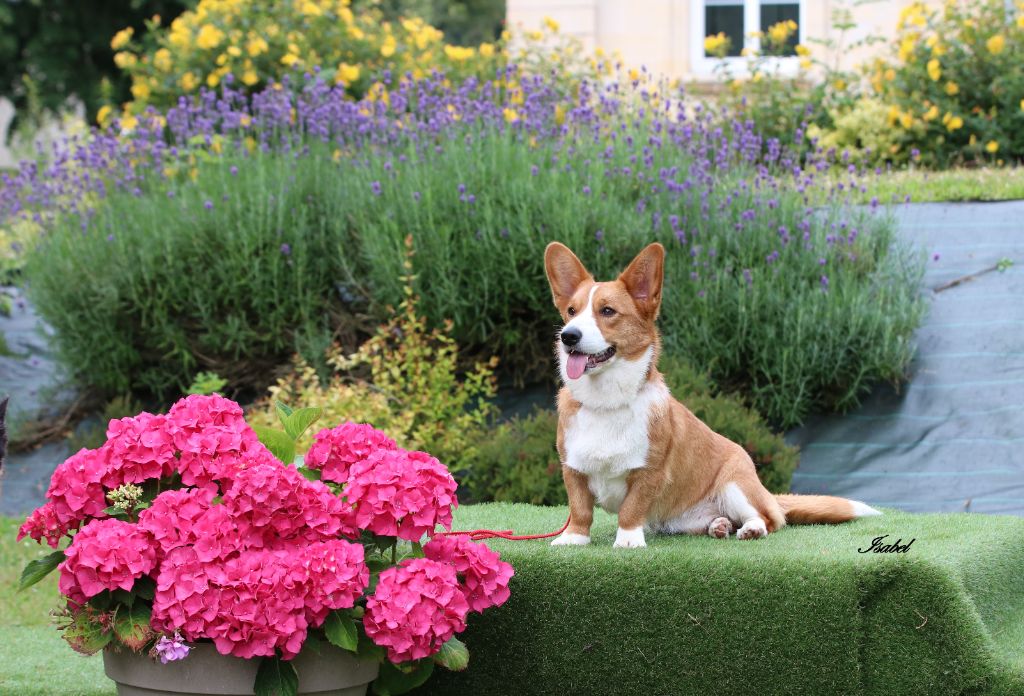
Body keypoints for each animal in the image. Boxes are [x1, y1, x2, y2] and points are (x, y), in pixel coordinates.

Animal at [544, 241, 880, 544]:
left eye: (608, 311)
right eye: (571, 311)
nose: (568, 336)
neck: (606, 401)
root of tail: (767, 492)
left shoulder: (648, 472)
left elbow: (631, 509)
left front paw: (627, 541)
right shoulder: (572, 470)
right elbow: (580, 510)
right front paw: (573, 539)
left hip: (735, 486)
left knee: (770, 519)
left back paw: (752, 529)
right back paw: (718, 525)